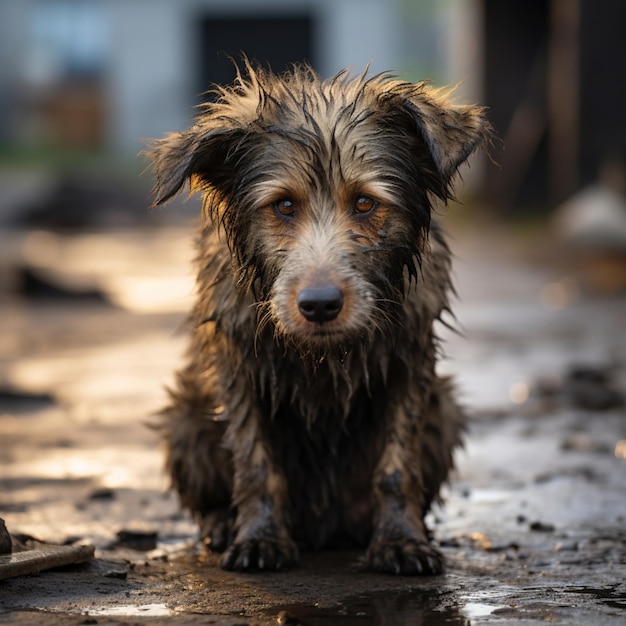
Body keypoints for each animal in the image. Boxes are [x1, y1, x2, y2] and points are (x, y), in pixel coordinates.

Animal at [146, 61, 488, 572]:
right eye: (284, 205)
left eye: (365, 203)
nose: (321, 305)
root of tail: (325, 529)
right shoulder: (238, 366)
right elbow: (255, 464)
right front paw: (261, 537)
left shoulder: (409, 364)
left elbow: (396, 467)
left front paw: (400, 539)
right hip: (183, 419)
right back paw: (222, 524)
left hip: (444, 408)